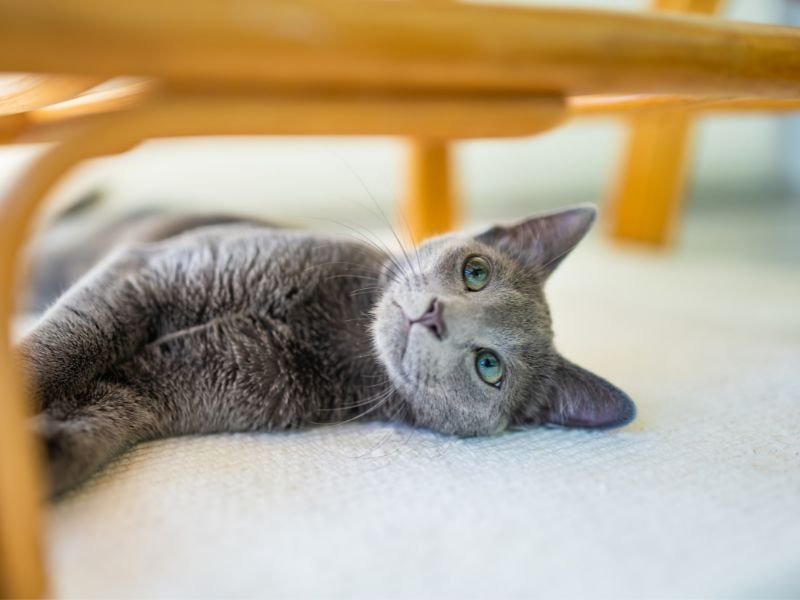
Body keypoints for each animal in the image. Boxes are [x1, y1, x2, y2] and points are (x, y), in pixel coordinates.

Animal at [15, 204, 636, 494]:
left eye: (490, 367)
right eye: (476, 272)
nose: (434, 314)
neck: (333, 332)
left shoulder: (159, 386)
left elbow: (98, 423)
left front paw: (37, 457)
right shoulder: (146, 274)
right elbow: (61, 348)